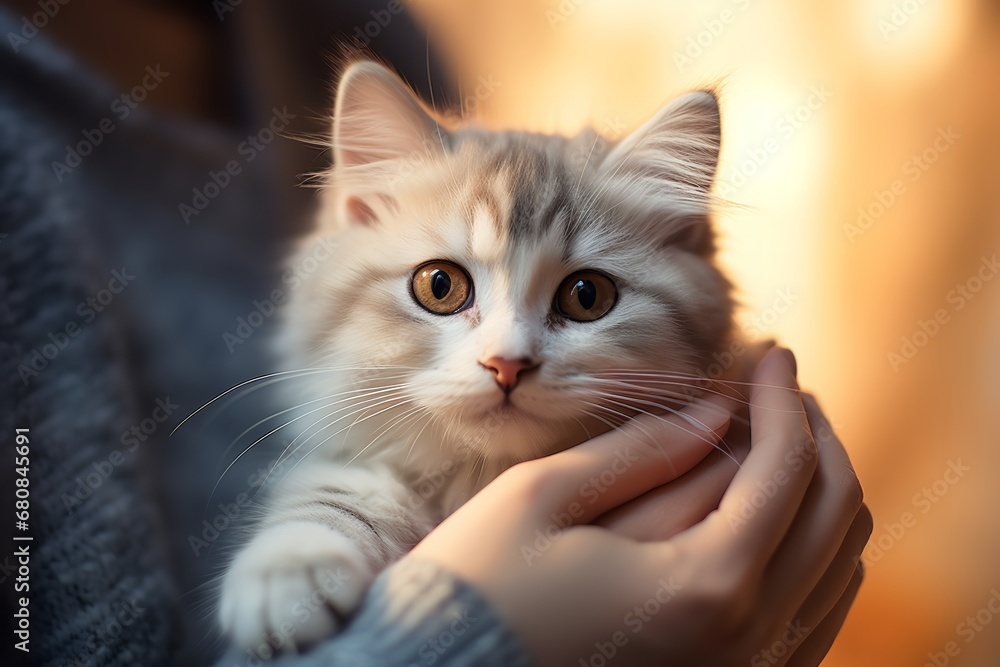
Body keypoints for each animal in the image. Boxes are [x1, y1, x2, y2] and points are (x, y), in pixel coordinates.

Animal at [217, 61, 736, 652]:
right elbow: (339, 488)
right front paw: (292, 563)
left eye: (587, 296)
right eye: (439, 286)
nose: (507, 363)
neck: (481, 479)